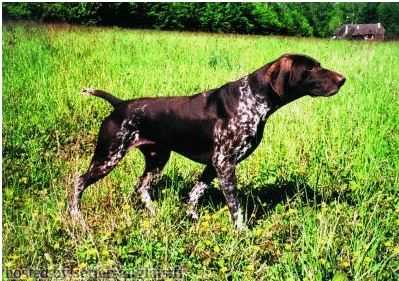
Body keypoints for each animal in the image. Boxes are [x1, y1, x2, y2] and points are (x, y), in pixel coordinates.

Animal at [68, 53, 344, 229]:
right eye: (311, 68)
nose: (343, 79)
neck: (253, 99)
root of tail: (120, 105)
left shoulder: (214, 165)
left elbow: (195, 193)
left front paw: (190, 217)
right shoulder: (224, 164)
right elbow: (235, 207)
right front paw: (242, 233)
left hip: (157, 159)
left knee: (141, 187)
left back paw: (156, 213)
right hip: (109, 156)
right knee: (79, 182)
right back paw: (76, 218)